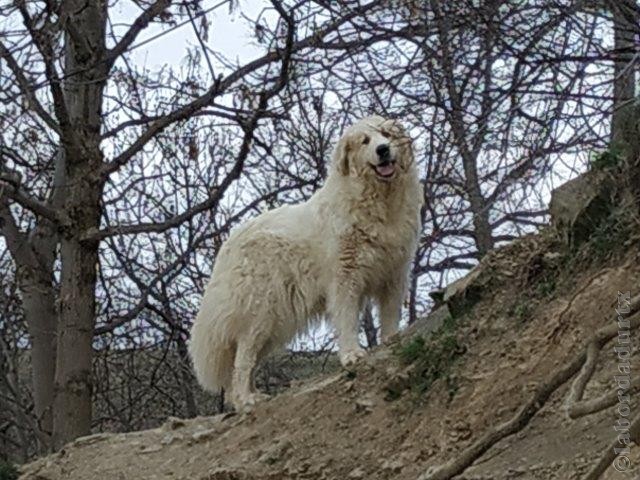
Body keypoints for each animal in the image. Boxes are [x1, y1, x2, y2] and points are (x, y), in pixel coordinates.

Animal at [188, 115, 422, 408]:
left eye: (386, 135)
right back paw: (247, 400)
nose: (383, 150)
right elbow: (347, 319)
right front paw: (352, 355)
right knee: (243, 360)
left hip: (273, 324)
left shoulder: (394, 273)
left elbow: (390, 315)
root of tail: (228, 245)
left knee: (243, 364)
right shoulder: (345, 277)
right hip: (260, 313)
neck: (377, 202)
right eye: (365, 141)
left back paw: (249, 397)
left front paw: (392, 340)